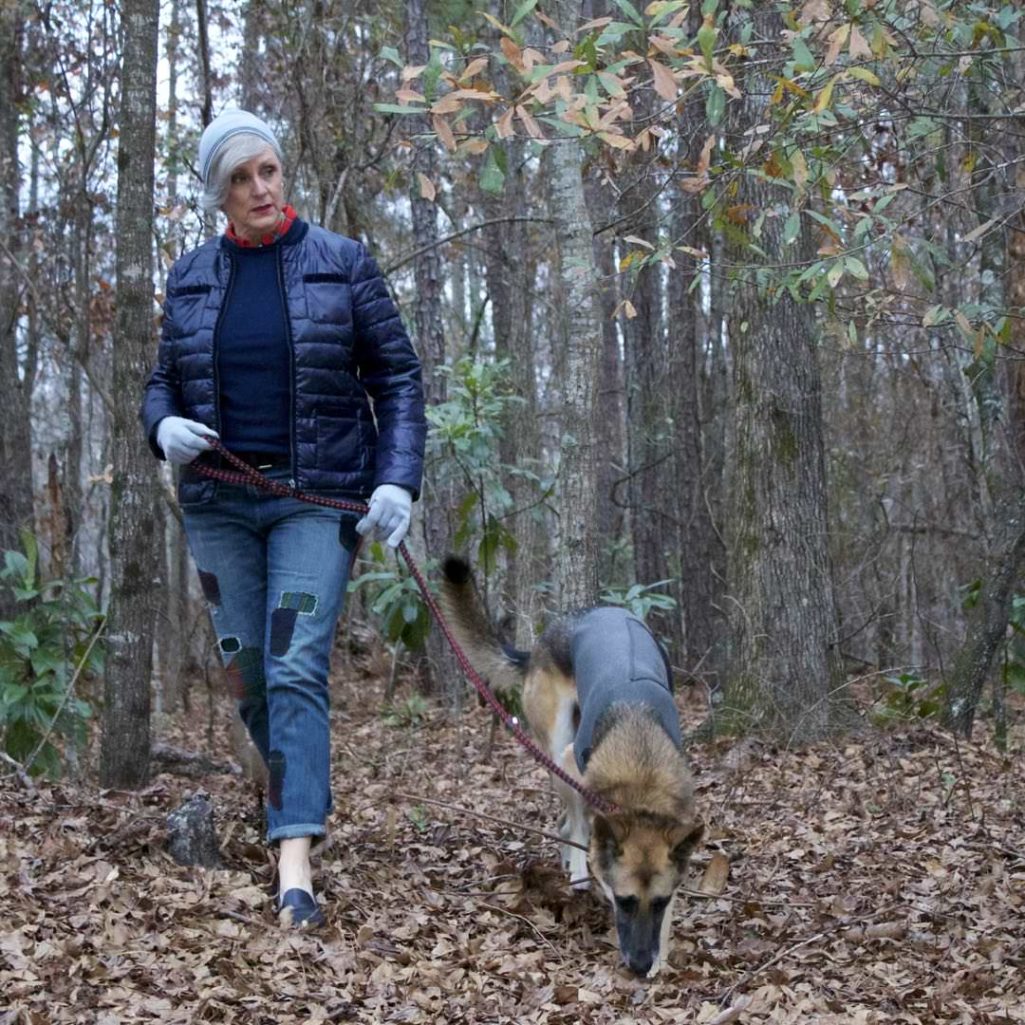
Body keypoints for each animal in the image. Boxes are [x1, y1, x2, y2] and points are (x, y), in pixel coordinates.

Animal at [440, 557, 705, 971]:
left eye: (660, 902)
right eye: (624, 901)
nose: (640, 965)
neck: (641, 779)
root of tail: (545, 639)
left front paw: (661, 956)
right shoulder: (575, 770)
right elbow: (583, 828)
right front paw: (583, 870)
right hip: (555, 748)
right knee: (567, 821)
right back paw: (575, 868)